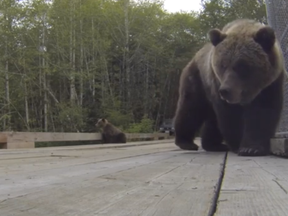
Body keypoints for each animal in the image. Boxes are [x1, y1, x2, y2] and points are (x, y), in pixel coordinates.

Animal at [173, 18, 286, 156]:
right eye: (223, 65)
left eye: (242, 65)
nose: (225, 91)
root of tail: (195, 56)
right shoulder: (217, 84)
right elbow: (230, 116)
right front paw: (238, 144)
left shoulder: (269, 85)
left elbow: (262, 112)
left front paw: (251, 148)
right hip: (197, 79)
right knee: (191, 108)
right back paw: (186, 142)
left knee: (211, 118)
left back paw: (214, 145)